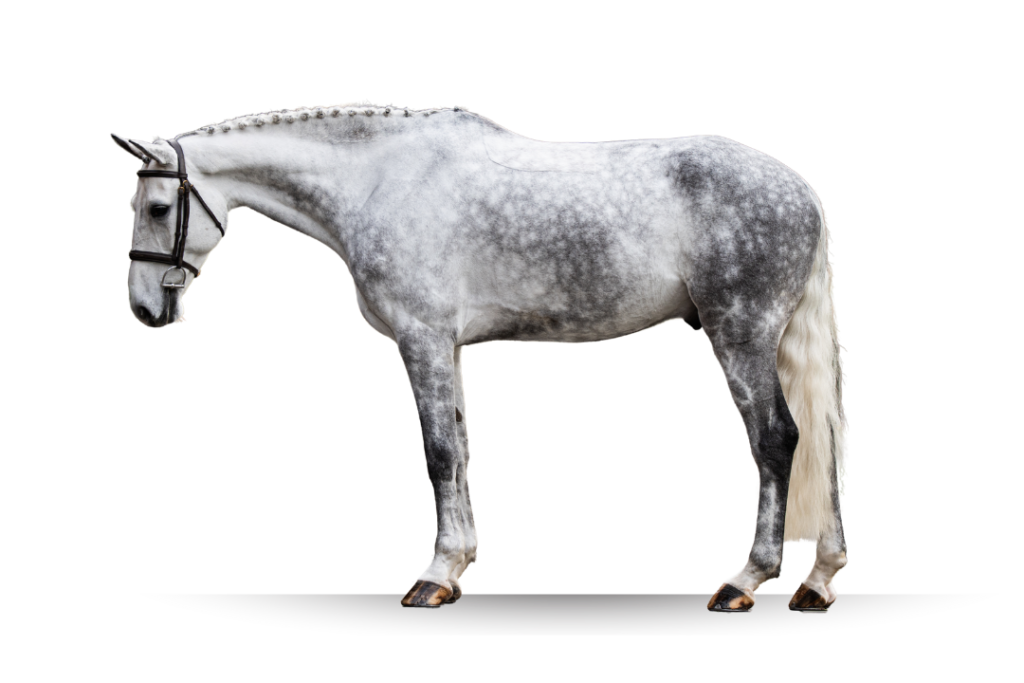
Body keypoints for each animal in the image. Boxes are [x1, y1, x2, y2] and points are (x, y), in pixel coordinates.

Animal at [112, 102, 850, 611]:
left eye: (158, 206)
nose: (146, 310)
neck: (377, 180)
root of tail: (798, 188)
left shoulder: (424, 338)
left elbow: (440, 450)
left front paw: (436, 575)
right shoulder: (445, 346)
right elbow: (460, 449)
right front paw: (457, 565)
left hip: (740, 333)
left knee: (777, 439)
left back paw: (746, 581)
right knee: (823, 440)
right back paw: (817, 581)